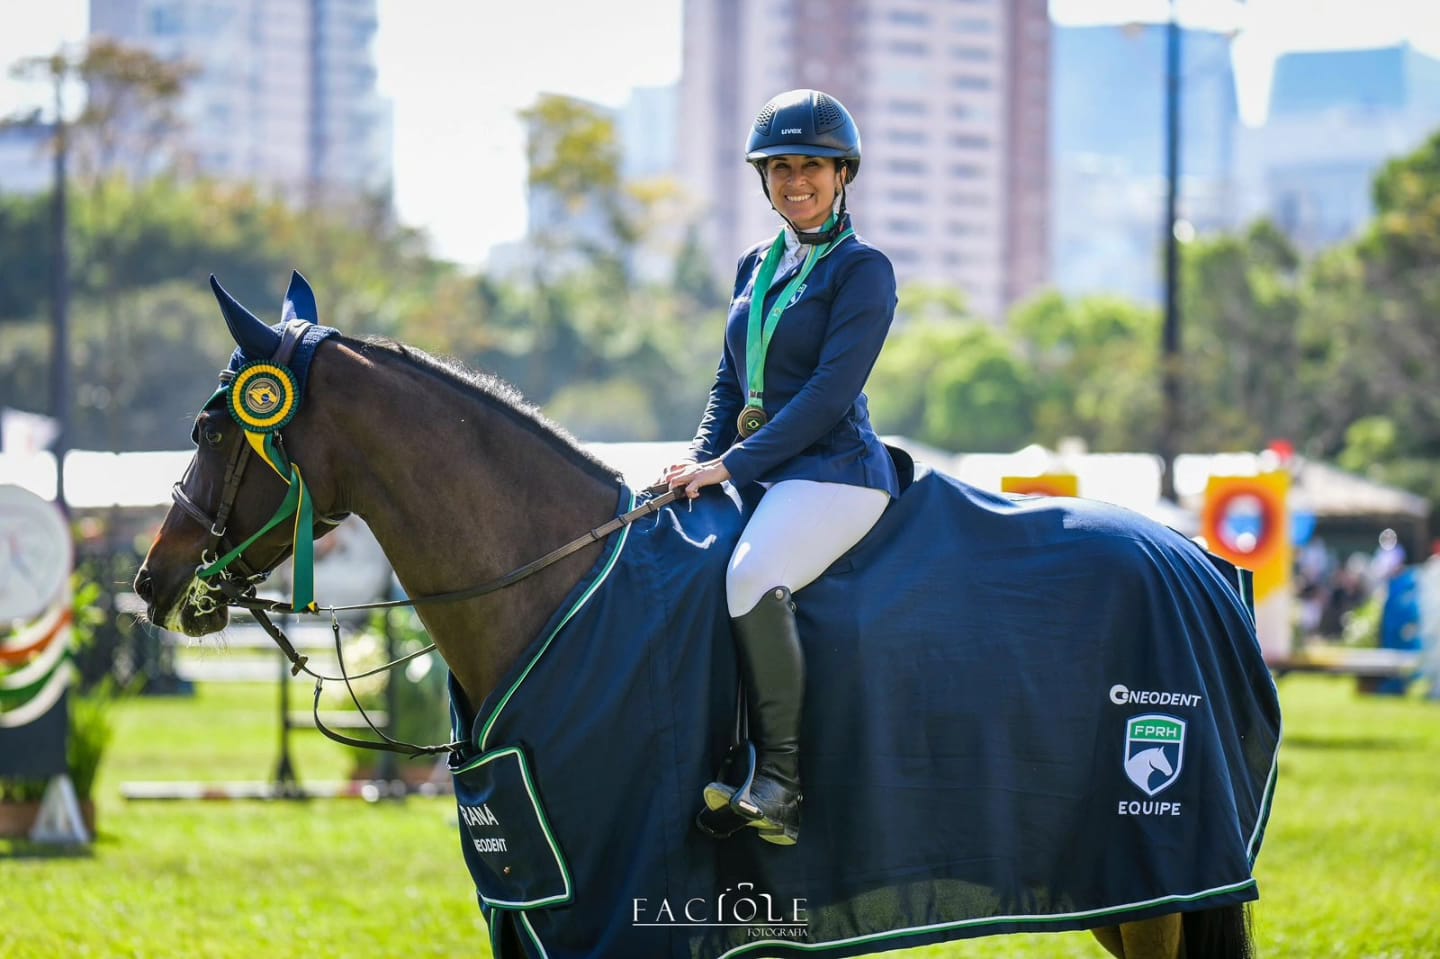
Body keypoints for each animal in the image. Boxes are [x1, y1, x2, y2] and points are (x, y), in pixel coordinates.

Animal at [135, 270, 1267, 956]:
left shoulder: (609, 901)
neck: (554, 582)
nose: (151, 581)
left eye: (211, 424)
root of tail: (1209, 571)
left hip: (1154, 876)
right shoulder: (530, 906)